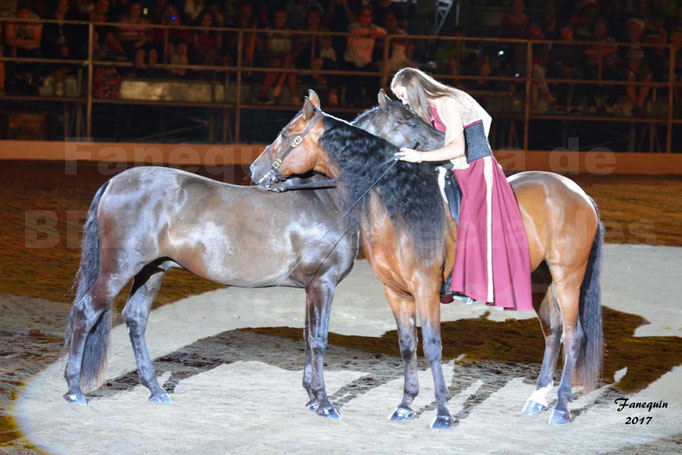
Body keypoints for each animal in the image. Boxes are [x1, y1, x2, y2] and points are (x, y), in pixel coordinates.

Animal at [64, 167, 358, 420]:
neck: (326, 199)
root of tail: (113, 182)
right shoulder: (323, 283)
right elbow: (318, 340)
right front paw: (324, 403)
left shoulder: (312, 288)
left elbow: (309, 337)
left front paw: (312, 398)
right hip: (119, 269)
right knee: (87, 311)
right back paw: (74, 391)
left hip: (152, 270)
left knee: (135, 317)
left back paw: (156, 390)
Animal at [250, 91, 600, 428]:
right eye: (411, 121)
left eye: (286, 134)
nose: (255, 169)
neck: (399, 202)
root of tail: (577, 192)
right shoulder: (395, 291)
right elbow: (408, 346)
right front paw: (405, 405)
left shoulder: (426, 287)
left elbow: (432, 346)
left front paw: (443, 413)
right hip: (541, 280)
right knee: (553, 332)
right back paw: (538, 399)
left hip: (568, 277)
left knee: (574, 336)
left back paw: (561, 407)